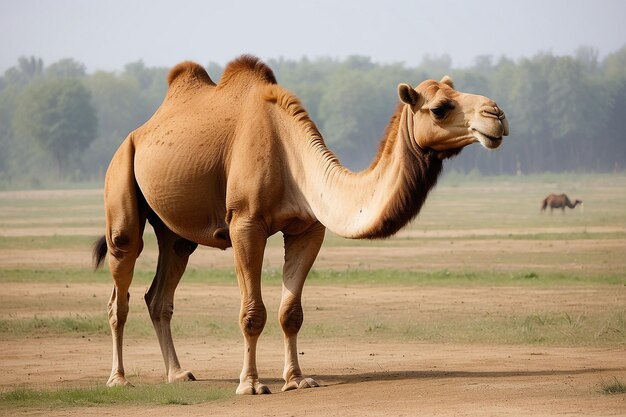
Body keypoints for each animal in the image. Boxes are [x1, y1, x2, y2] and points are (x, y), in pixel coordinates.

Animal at [92, 55, 510, 394]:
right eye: (440, 108)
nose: (497, 115)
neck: (290, 155)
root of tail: (138, 132)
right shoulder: (245, 223)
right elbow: (253, 312)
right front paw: (251, 384)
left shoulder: (308, 228)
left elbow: (290, 312)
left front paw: (296, 379)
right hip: (121, 179)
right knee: (121, 280)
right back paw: (118, 378)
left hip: (175, 232)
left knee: (160, 291)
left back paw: (178, 374)